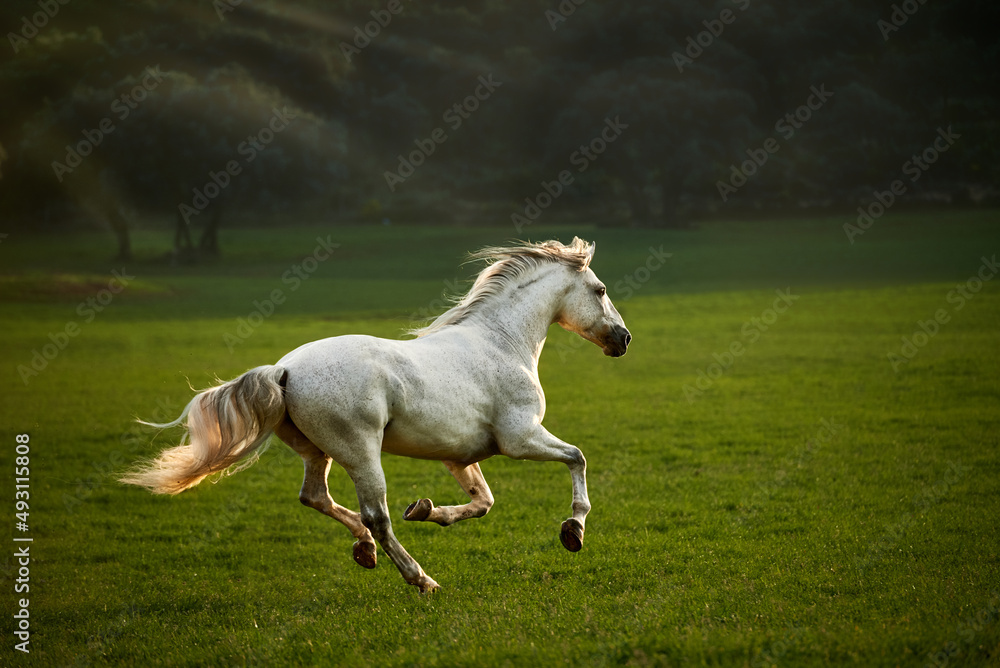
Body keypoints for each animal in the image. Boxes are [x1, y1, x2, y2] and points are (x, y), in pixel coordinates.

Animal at [120, 236, 631, 593]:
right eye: (601, 289)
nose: (623, 339)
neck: (501, 342)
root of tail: (283, 369)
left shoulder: (460, 456)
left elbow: (482, 502)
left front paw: (426, 510)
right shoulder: (520, 438)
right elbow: (577, 457)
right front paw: (573, 531)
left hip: (317, 451)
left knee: (316, 498)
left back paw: (364, 552)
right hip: (362, 452)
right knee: (376, 516)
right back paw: (421, 579)